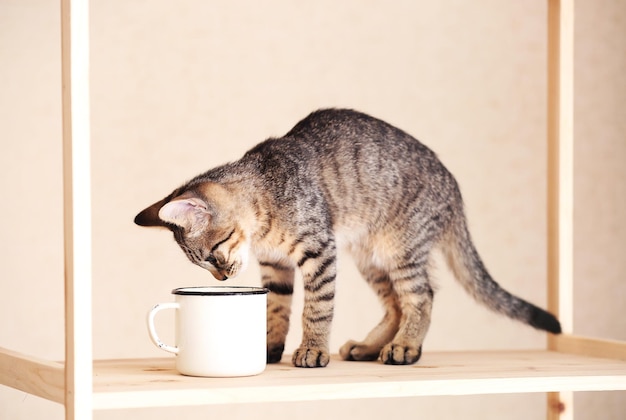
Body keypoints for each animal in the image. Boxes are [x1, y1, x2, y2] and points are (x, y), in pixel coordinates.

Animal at [133, 107, 560, 368]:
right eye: (203, 263)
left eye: (213, 253)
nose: (222, 278)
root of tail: (453, 186)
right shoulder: (276, 267)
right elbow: (277, 310)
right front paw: (269, 348)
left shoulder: (319, 249)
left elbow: (316, 308)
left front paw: (311, 349)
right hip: (369, 258)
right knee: (395, 305)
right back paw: (370, 347)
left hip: (400, 248)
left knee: (421, 296)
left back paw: (405, 347)